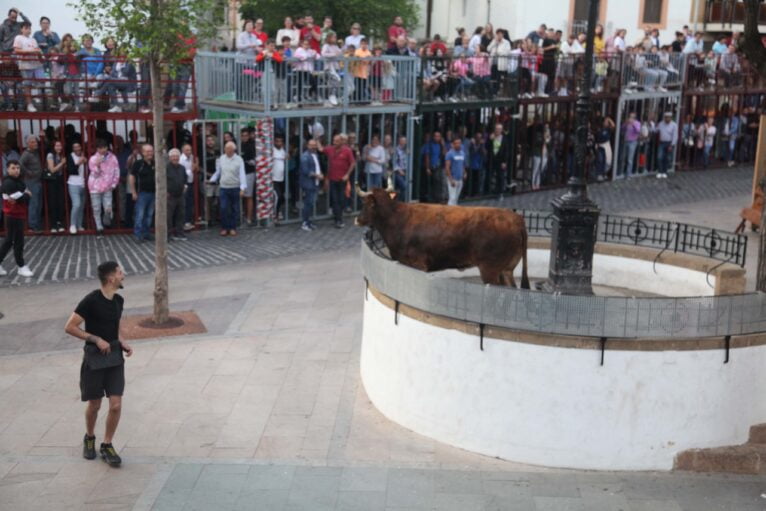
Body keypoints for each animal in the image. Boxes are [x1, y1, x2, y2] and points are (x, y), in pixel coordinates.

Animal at [358, 188, 528, 288]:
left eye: (367, 203)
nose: (357, 220)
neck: (397, 218)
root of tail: (515, 219)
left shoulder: (417, 264)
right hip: (506, 270)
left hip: (490, 270)